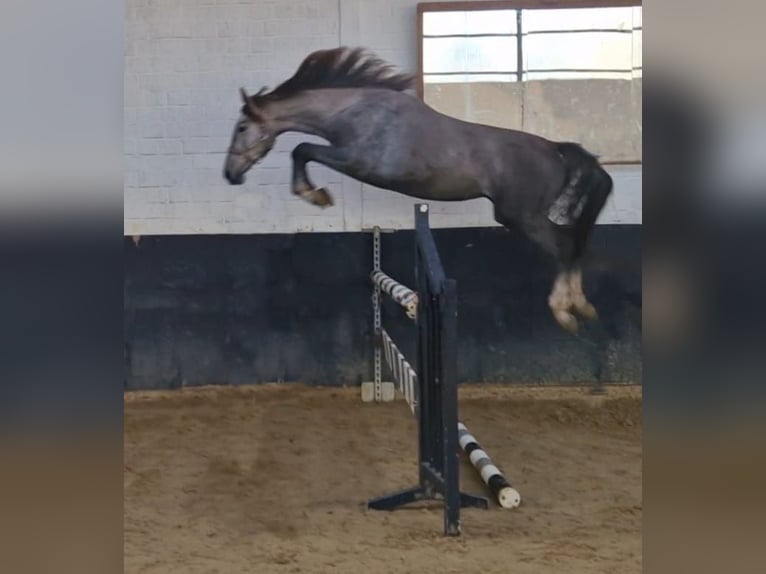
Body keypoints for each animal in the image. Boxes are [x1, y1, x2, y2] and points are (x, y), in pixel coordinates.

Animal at [225, 47, 616, 336]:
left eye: (242, 127)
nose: (230, 175)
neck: (356, 111)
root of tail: (556, 150)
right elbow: (302, 150)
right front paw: (315, 194)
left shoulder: (357, 161)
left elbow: (302, 149)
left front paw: (316, 195)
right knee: (575, 245)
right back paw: (583, 306)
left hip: (521, 216)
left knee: (565, 248)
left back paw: (565, 312)